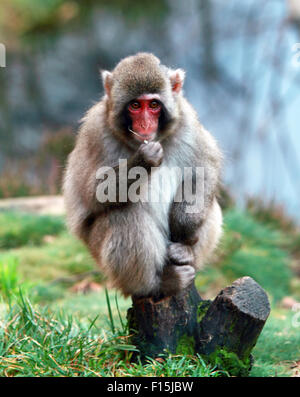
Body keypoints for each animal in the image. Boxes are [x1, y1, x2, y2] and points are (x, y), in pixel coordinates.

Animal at [63, 53, 223, 300]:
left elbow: (206, 167)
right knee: (123, 215)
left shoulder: (187, 121)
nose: (145, 124)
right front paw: (144, 159)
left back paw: (186, 251)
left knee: (209, 204)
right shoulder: (95, 133)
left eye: (154, 104)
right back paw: (159, 285)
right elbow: (94, 192)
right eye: (135, 105)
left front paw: (185, 226)